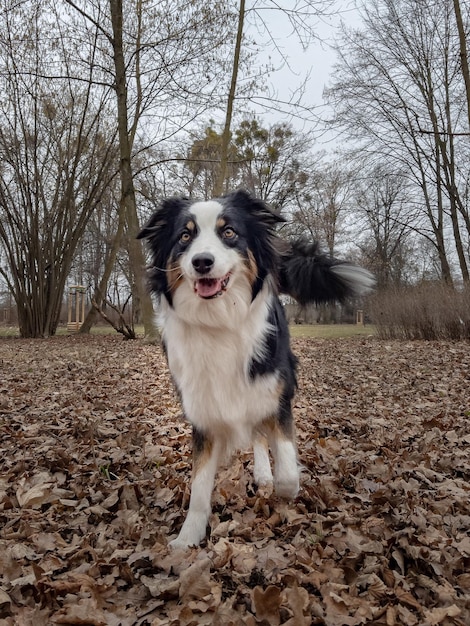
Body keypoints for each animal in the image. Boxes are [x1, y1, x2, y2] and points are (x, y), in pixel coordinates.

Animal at [137, 186, 374, 544]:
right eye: (184, 236)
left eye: (229, 232)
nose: (202, 262)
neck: (219, 321)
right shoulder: (203, 409)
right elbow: (199, 485)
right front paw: (187, 539)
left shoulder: (276, 393)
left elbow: (287, 465)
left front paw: (285, 492)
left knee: (262, 434)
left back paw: (265, 474)